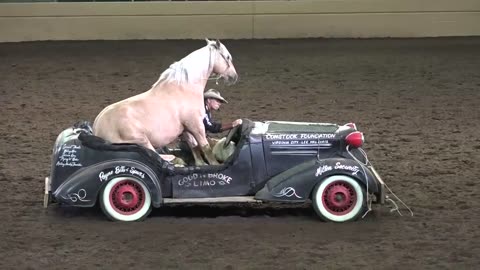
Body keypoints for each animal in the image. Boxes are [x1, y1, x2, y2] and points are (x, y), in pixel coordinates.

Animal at [91, 37, 238, 165]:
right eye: (227, 57)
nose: (234, 77)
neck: (184, 88)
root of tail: (97, 128)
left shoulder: (186, 129)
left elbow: (194, 148)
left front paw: (200, 164)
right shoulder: (196, 125)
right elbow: (205, 146)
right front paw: (215, 164)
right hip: (141, 141)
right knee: (157, 155)